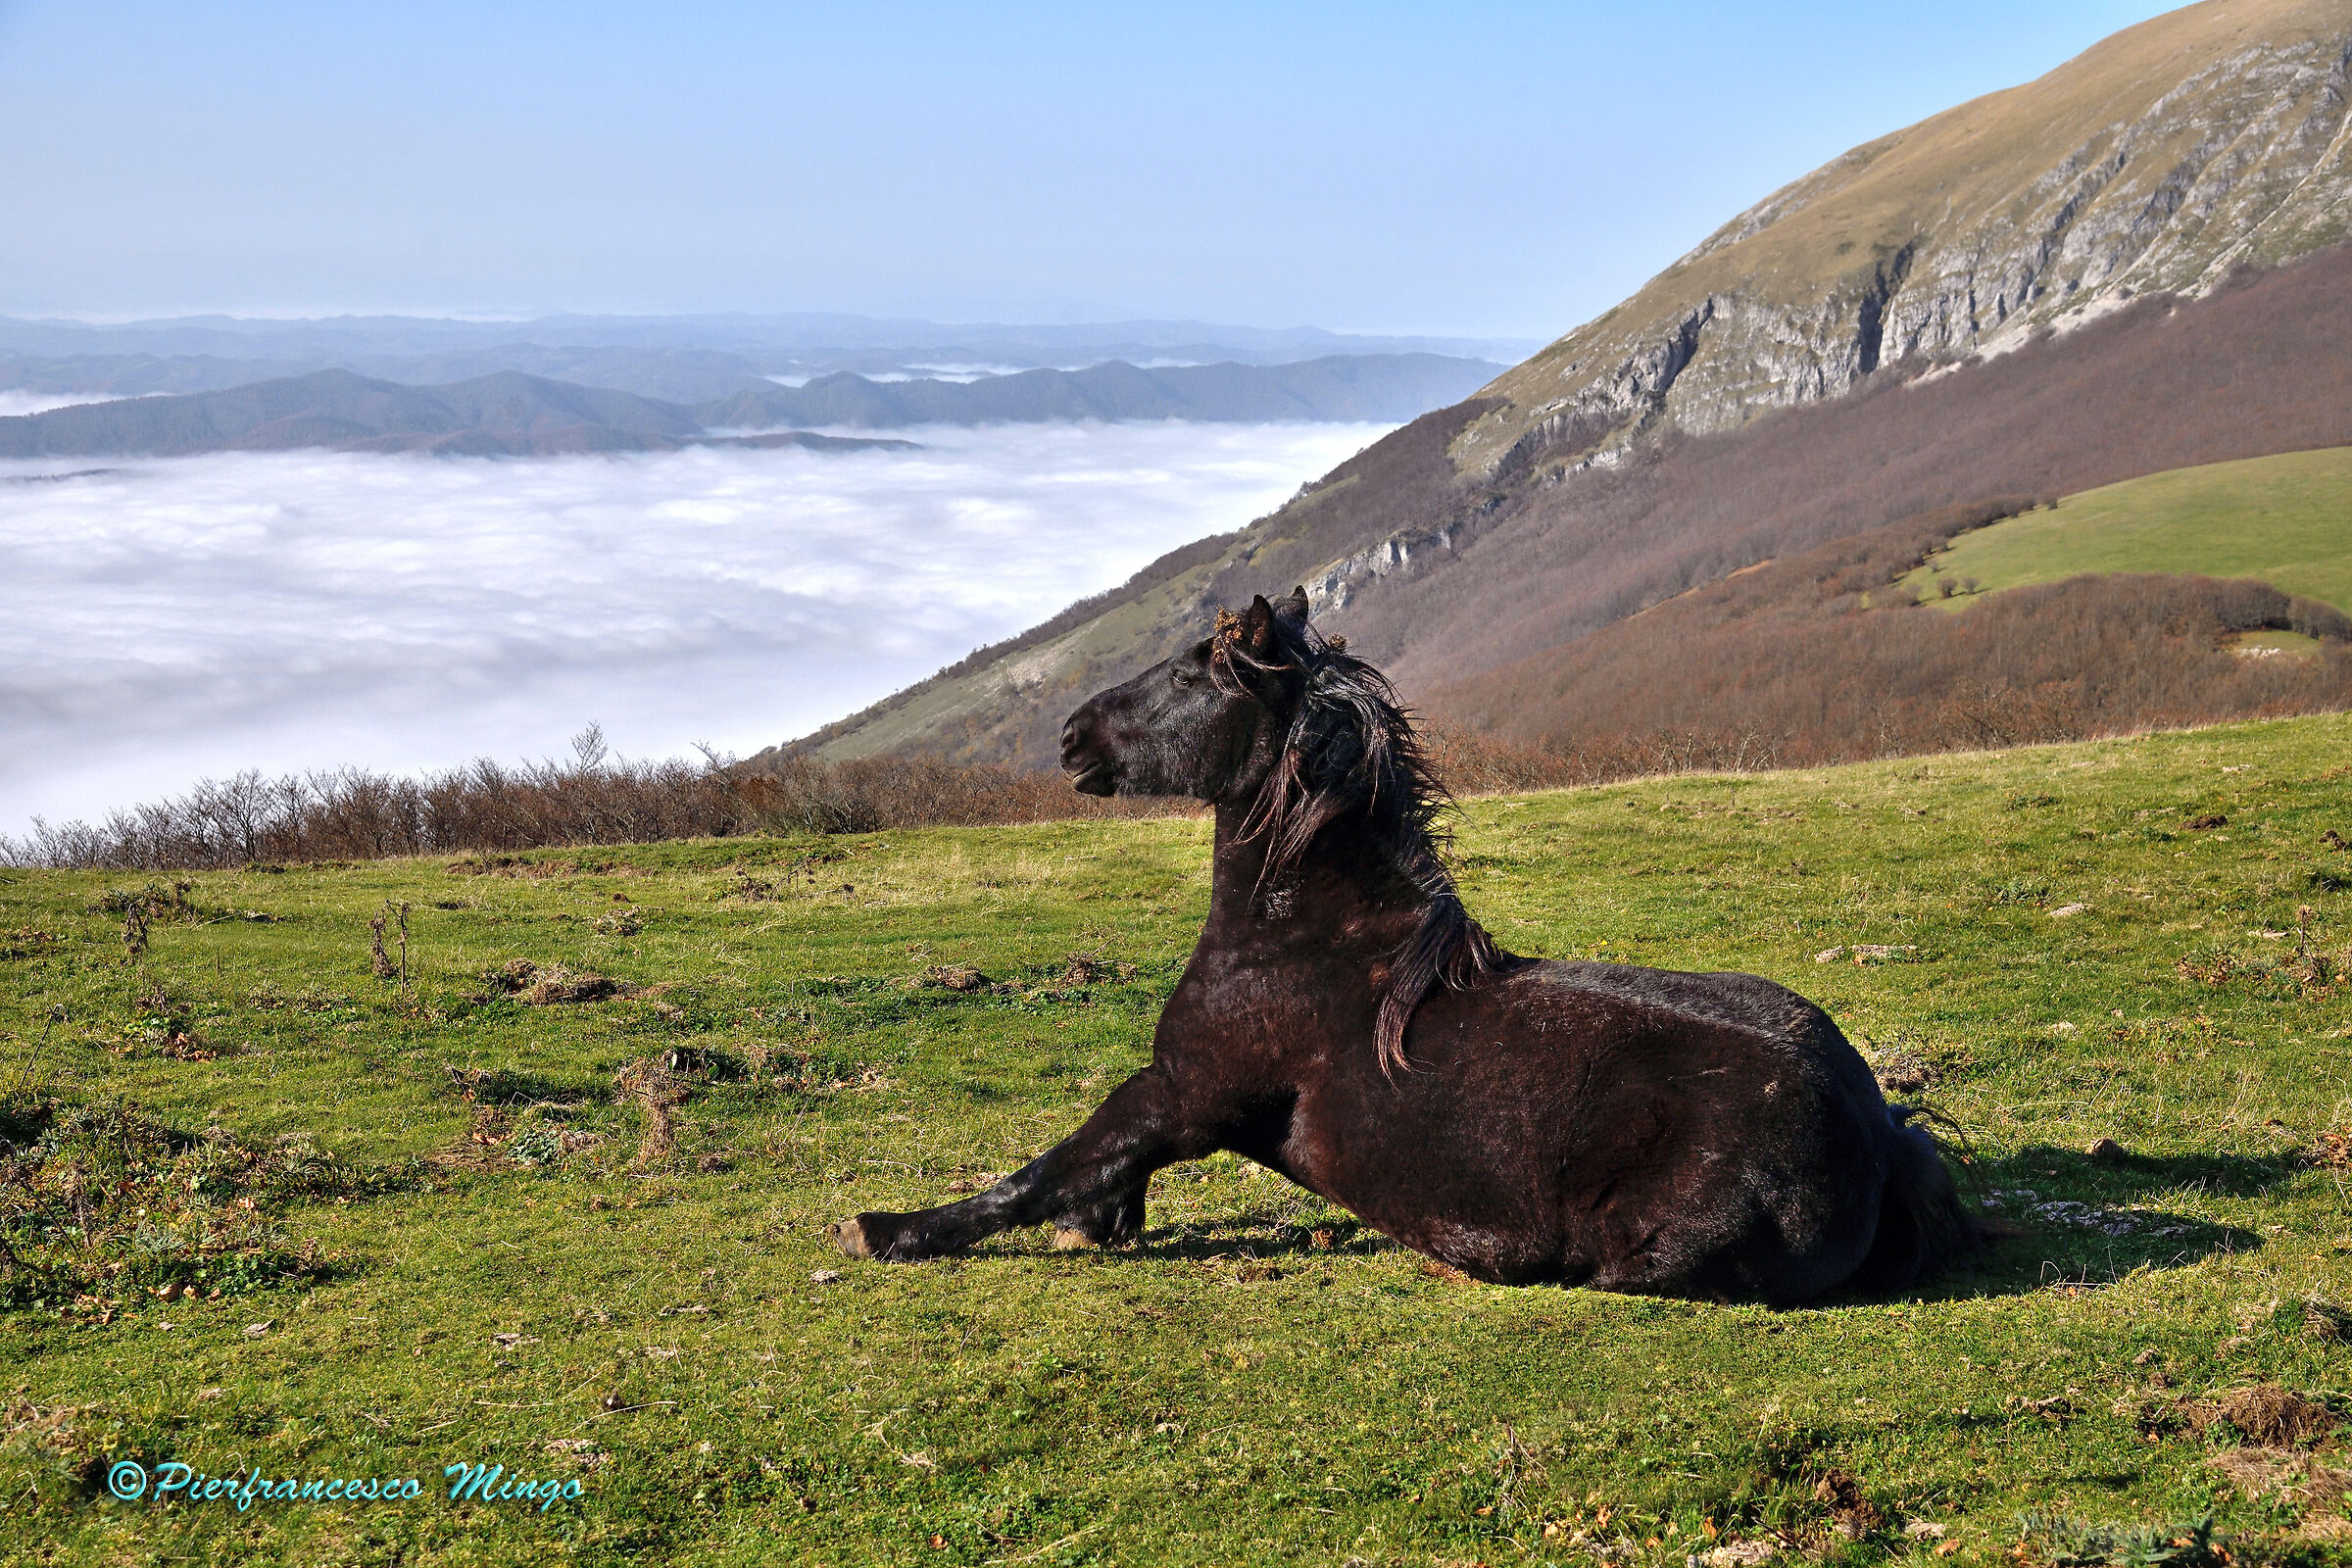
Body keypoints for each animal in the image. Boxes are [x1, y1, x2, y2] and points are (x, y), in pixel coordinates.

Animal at [831, 588, 1977, 1303]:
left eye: (1196, 673)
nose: (1071, 735)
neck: (1308, 945)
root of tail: (1878, 1136)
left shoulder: (1187, 1094)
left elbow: (1048, 1166)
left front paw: (887, 1228)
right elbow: (1090, 1167)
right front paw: (1101, 1219)